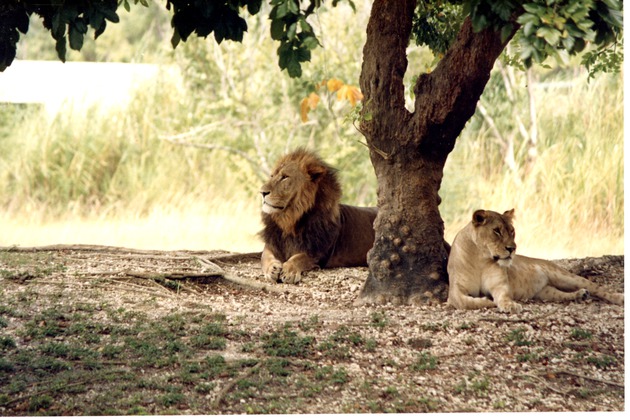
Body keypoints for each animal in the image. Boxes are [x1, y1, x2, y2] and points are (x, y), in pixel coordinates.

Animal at [260, 149, 378, 284]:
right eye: (272, 176)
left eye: (285, 177)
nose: (261, 192)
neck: (289, 222)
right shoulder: (272, 243)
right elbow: (265, 257)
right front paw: (272, 269)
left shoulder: (318, 253)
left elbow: (300, 257)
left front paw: (289, 270)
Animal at [450, 209, 628, 312]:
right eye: (497, 231)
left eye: (512, 231)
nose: (512, 248)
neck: (481, 258)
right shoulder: (455, 290)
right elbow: (464, 302)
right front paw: (487, 301)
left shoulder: (499, 285)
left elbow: (504, 296)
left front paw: (509, 305)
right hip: (546, 292)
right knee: (562, 294)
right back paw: (580, 295)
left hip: (564, 276)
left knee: (599, 289)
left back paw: (620, 297)